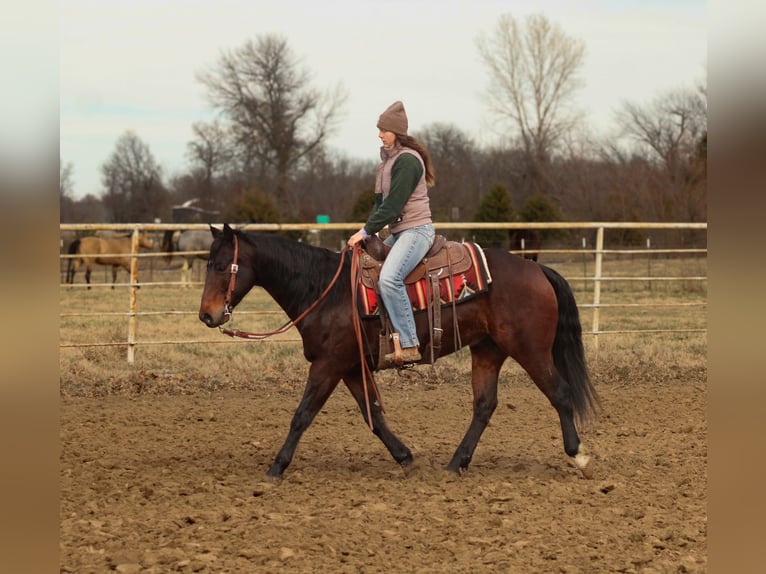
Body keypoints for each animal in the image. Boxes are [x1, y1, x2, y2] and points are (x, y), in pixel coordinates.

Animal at [198, 224, 598, 481]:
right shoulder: (350, 368)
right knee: (484, 405)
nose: (207, 315)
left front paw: (276, 467)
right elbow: (373, 415)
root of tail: (537, 268)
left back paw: (578, 455)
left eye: (220, 265)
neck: (325, 289)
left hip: (530, 349)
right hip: (489, 350)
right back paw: (456, 463)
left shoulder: (328, 366)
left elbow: (302, 415)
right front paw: (405, 457)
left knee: (560, 393)